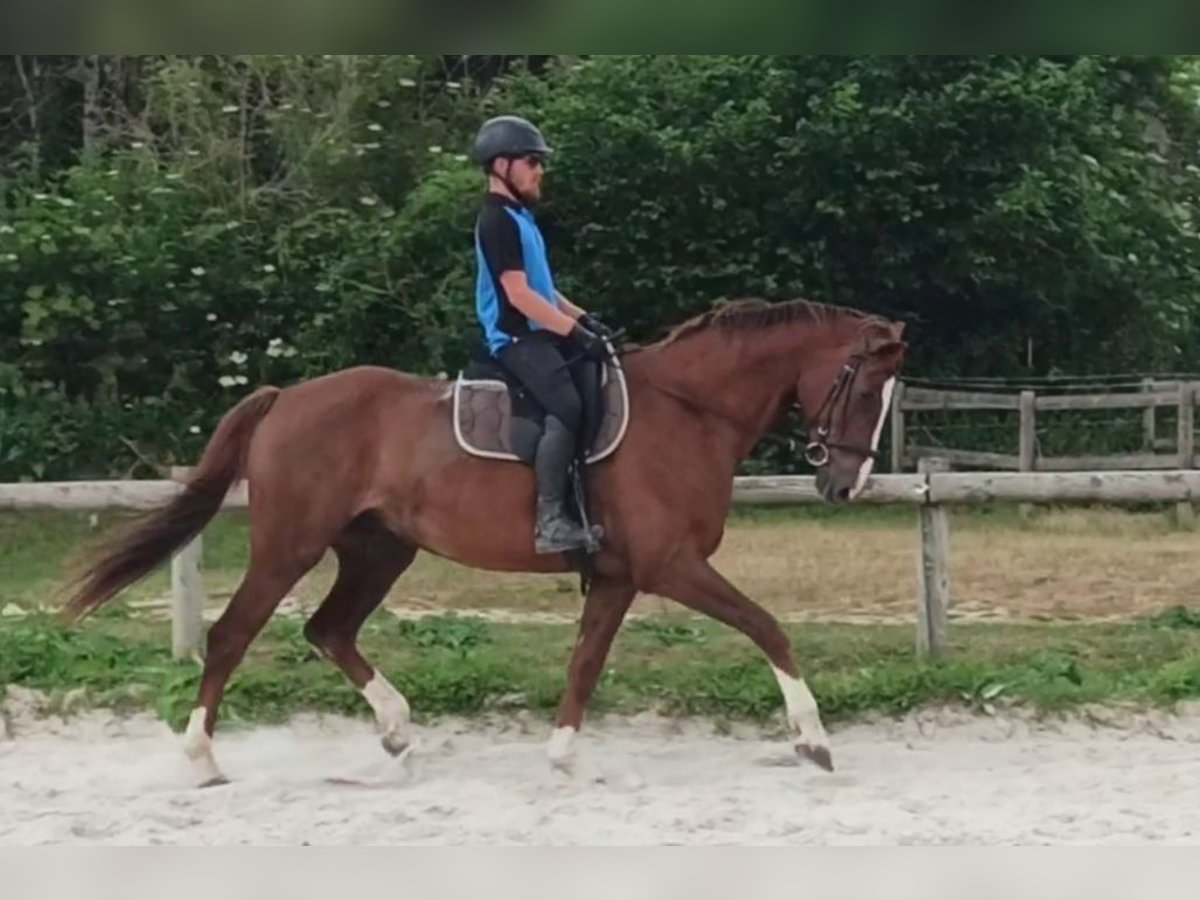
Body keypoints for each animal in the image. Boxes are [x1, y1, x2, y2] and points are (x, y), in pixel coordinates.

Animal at [63, 300, 907, 787]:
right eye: (867, 388)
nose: (846, 485)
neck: (689, 410)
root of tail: (287, 397)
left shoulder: (619, 575)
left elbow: (585, 661)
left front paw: (563, 755)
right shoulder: (671, 565)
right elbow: (768, 627)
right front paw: (813, 741)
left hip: (379, 549)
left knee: (328, 629)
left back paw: (399, 734)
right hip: (288, 546)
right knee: (235, 634)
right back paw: (203, 758)